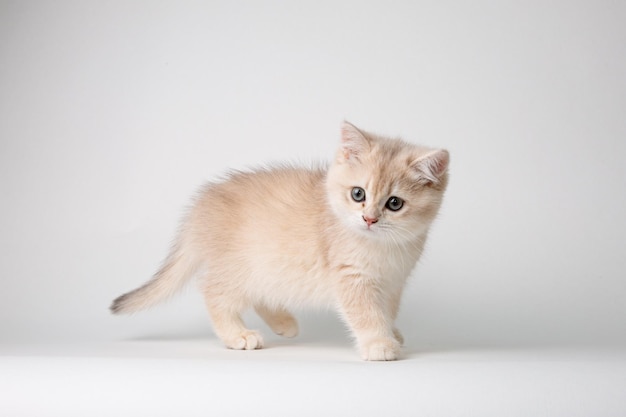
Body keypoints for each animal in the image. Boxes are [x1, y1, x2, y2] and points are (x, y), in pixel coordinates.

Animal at [109, 122, 446, 360]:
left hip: (266, 268)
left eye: (394, 204)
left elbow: (386, 310)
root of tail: (199, 207)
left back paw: (283, 323)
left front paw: (390, 332)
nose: (369, 219)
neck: (386, 248)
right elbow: (366, 314)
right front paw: (379, 343)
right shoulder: (352, 278)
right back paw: (237, 335)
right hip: (237, 266)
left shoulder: (393, 283)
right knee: (213, 292)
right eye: (358, 194)